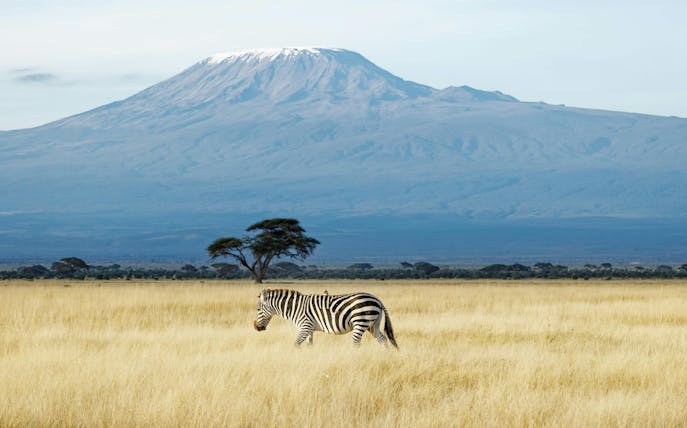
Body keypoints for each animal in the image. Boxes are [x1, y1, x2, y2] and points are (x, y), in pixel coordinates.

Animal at [253, 288, 398, 349]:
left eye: (258, 310)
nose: (255, 327)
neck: (295, 308)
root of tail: (377, 299)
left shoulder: (305, 326)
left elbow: (296, 344)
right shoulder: (309, 329)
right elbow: (309, 345)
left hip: (360, 322)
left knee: (356, 344)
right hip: (372, 324)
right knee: (383, 340)